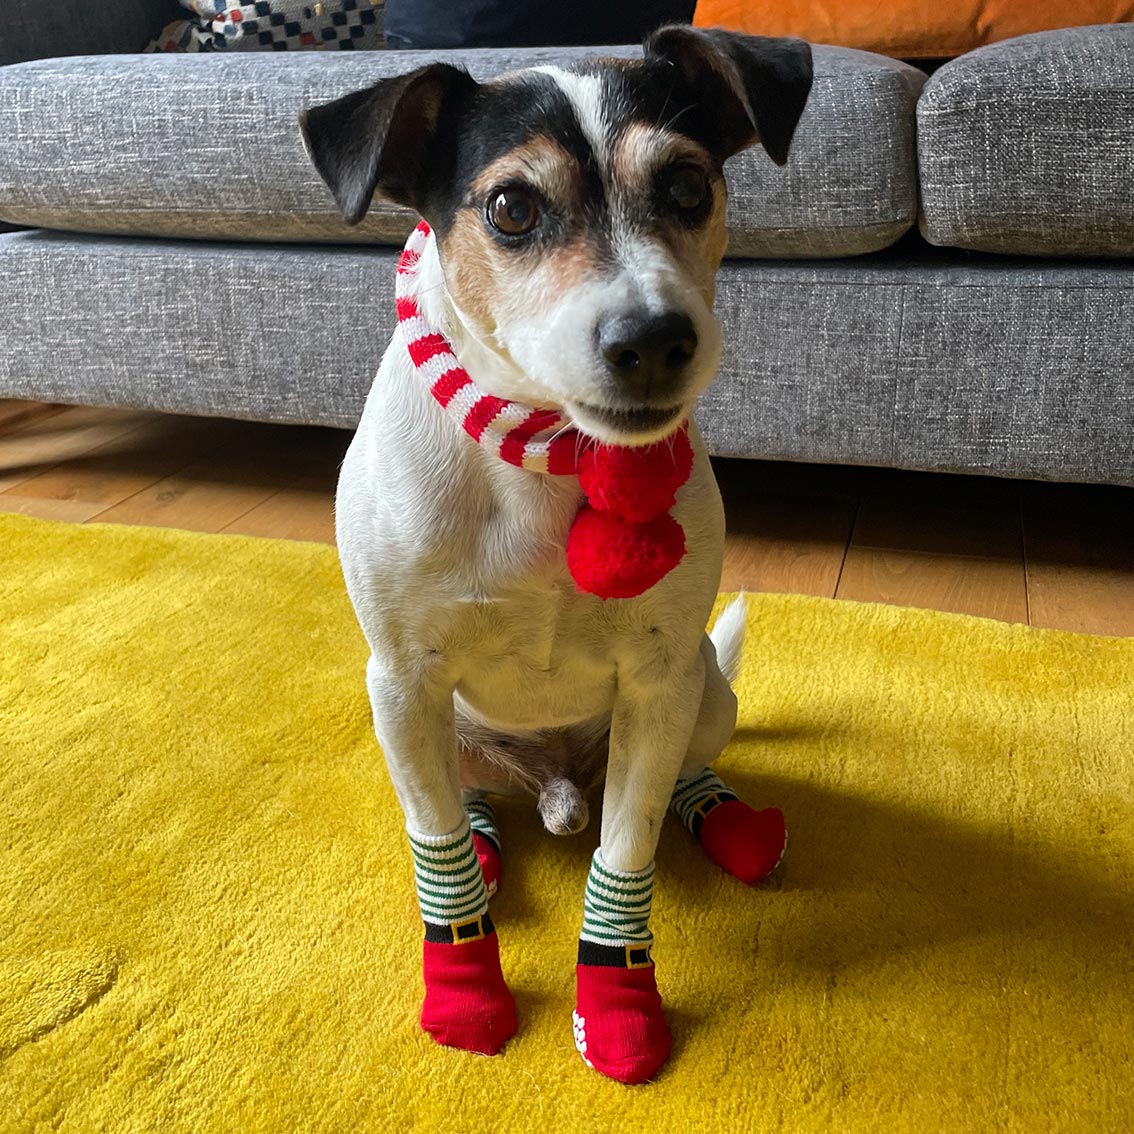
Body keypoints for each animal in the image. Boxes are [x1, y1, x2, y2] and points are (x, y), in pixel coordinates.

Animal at [301, 26, 811, 1084]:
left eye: (688, 185)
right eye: (510, 207)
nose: (653, 338)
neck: (543, 448)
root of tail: (556, 787)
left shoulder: (658, 681)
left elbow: (629, 856)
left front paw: (618, 1001)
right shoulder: (402, 679)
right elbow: (438, 848)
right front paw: (465, 989)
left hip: (702, 692)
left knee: (671, 779)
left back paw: (728, 824)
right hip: (416, 722)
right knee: (459, 800)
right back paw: (491, 838)